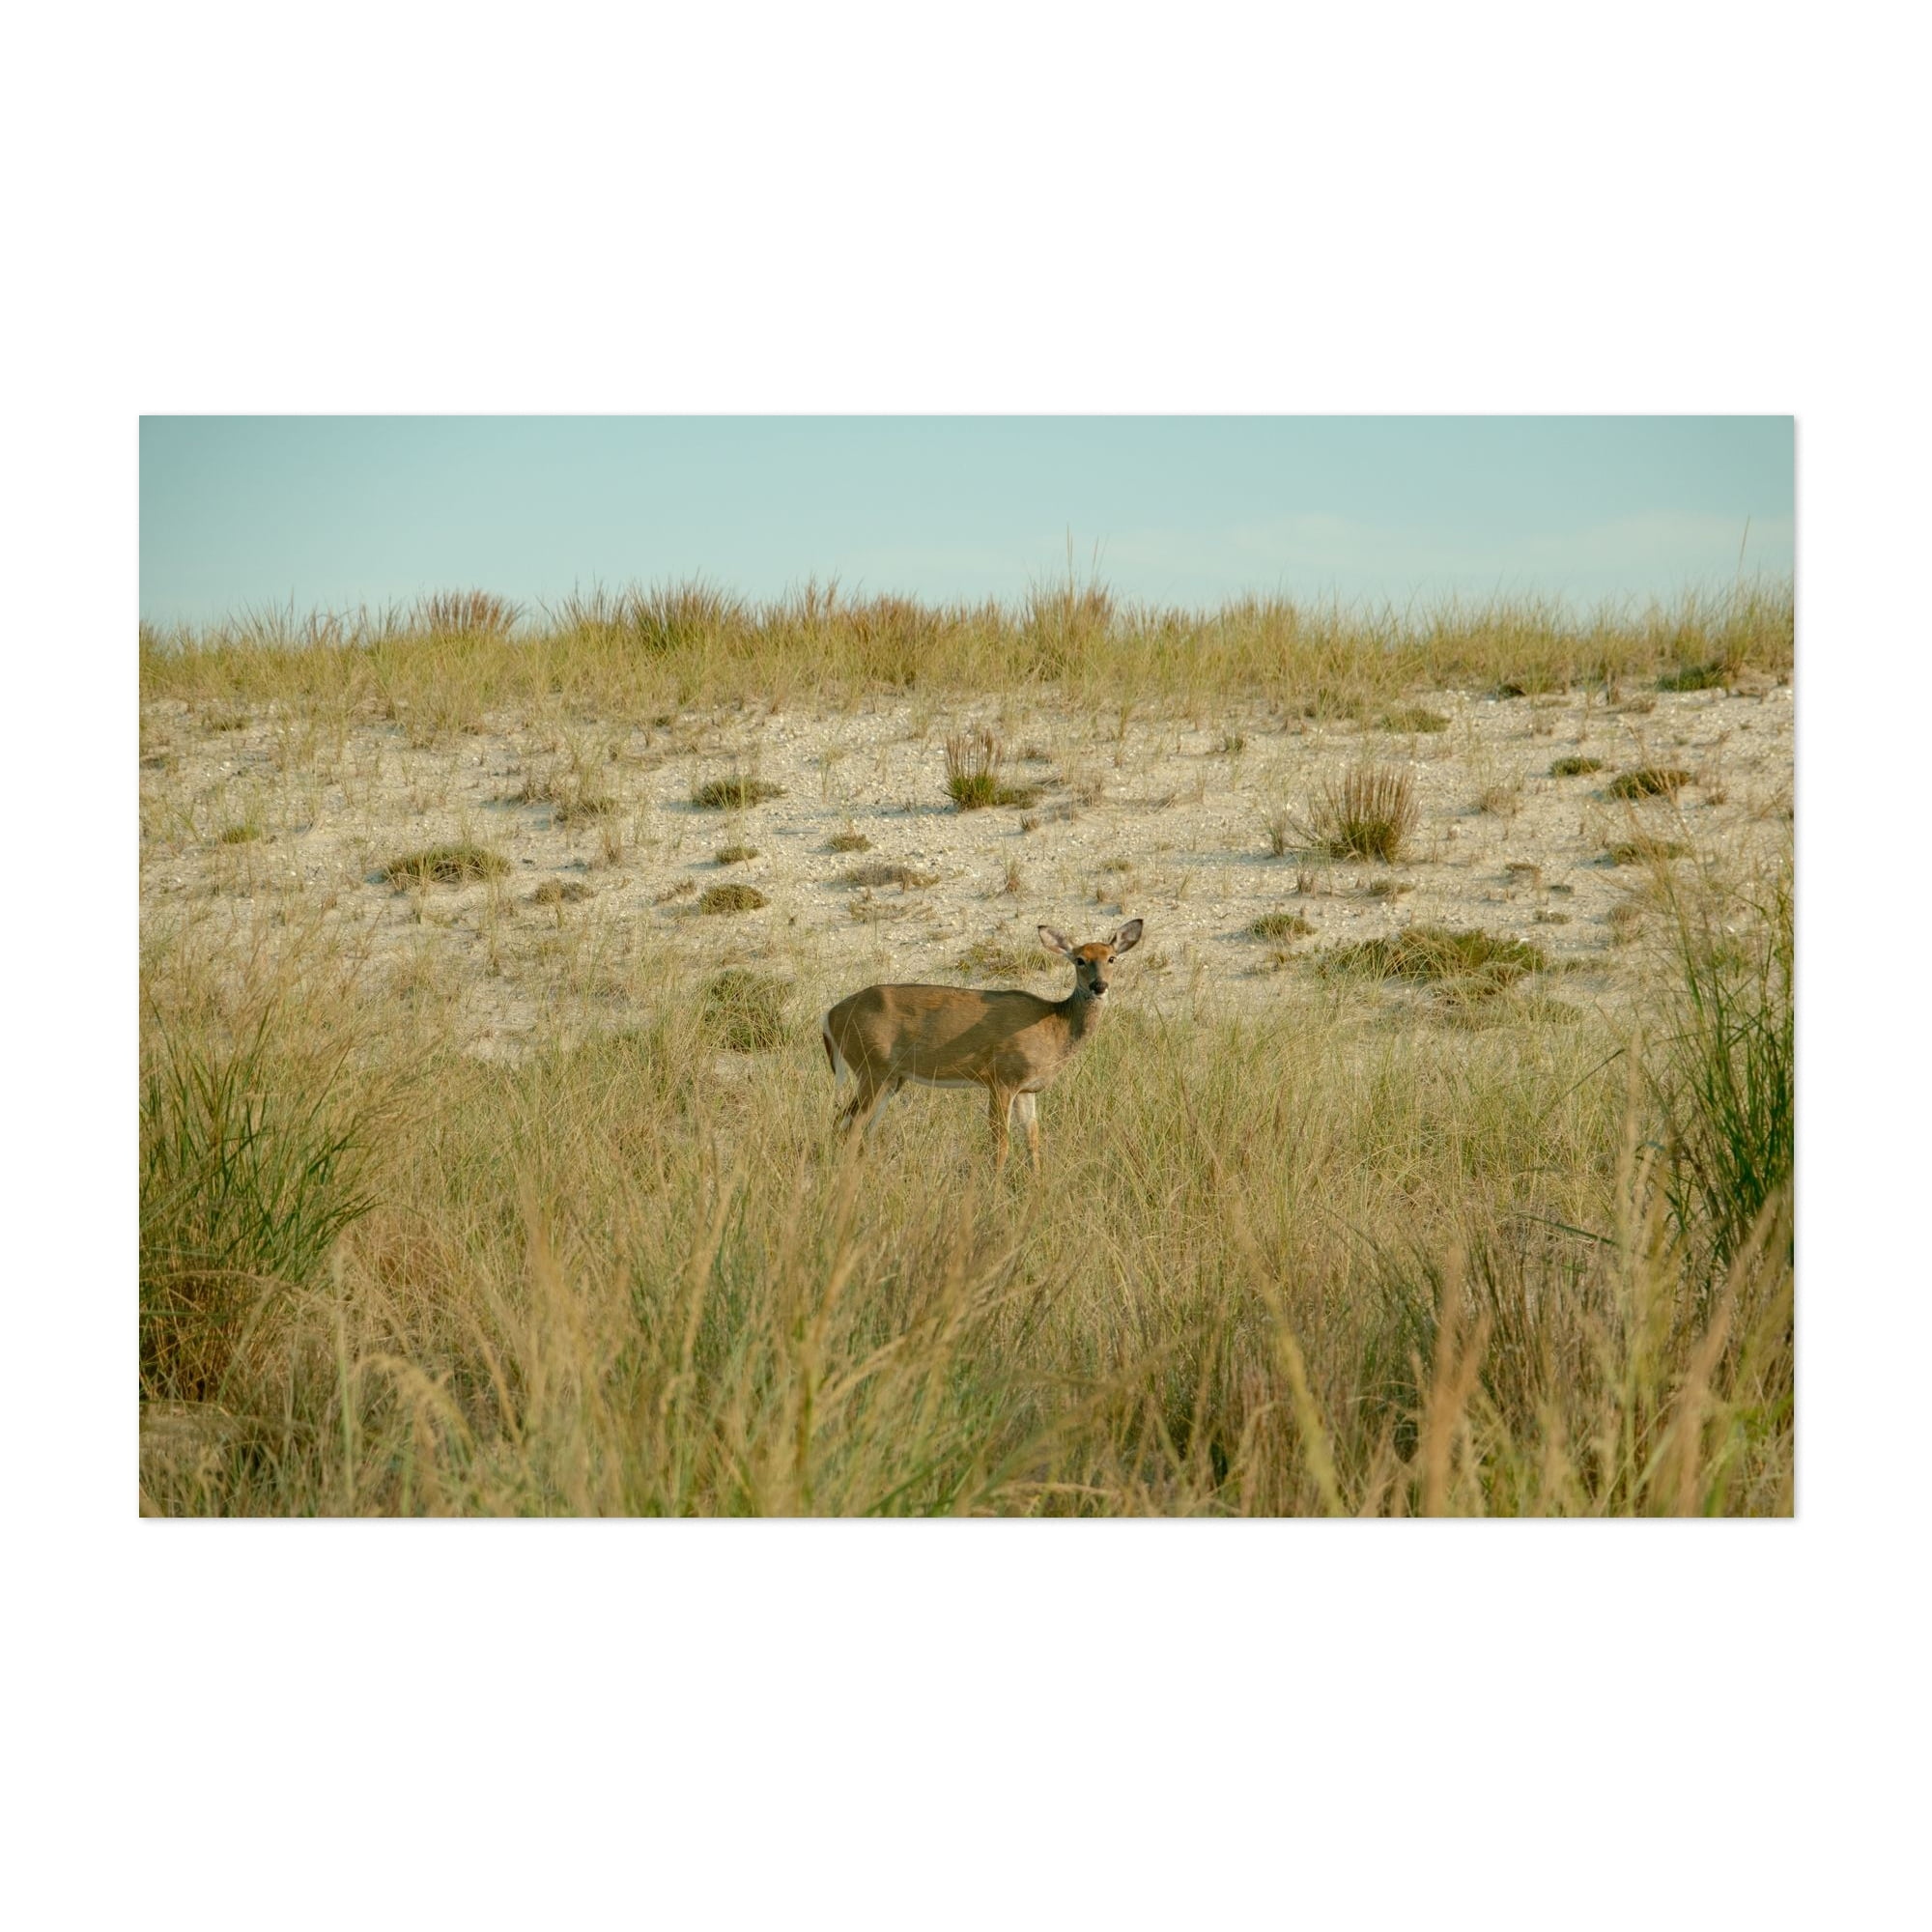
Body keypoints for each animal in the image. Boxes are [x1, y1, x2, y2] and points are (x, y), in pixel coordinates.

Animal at [820, 919, 1143, 1174]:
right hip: (871, 1067)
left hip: (891, 1078)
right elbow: (1000, 1144)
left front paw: (1037, 1188)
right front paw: (995, 1193)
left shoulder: (1027, 1089)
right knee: (848, 1124)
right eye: (1079, 960)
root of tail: (830, 1015)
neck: (1055, 1026)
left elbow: (1033, 1142)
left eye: (1112, 958)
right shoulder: (1001, 1078)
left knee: (857, 1127)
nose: (1099, 986)